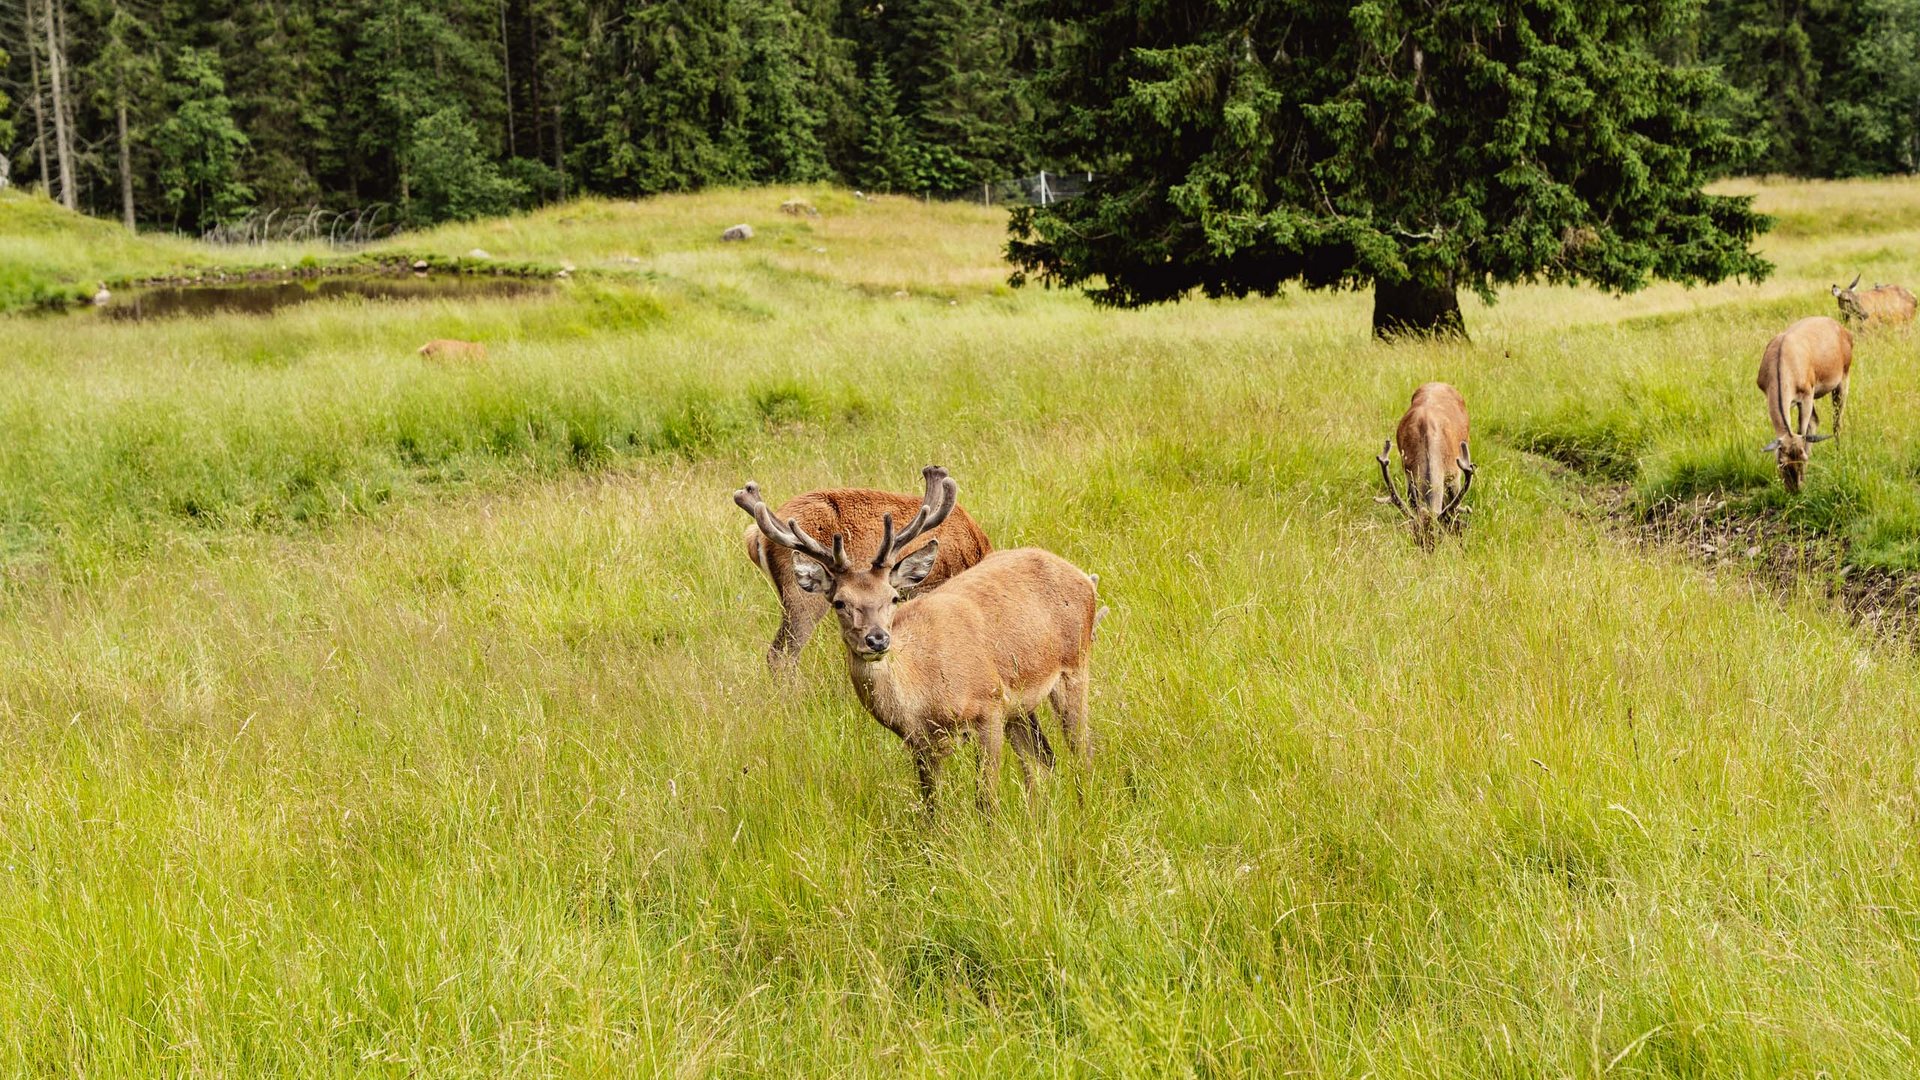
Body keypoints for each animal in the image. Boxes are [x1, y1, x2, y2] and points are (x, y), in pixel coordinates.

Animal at [1374, 380, 1474, 545]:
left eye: (1439, 537)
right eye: (1416, 539)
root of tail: (1438, 382)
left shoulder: (1455, 474)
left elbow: (1456, 519)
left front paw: (1462, 546)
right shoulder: (1409, 473)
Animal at [1758, 313, 1850, 495]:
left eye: (1803, 459)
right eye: (1781, 462)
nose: (1795, 490)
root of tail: (1842, 329)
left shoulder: (1806, 396)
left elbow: (1803, 430)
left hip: (1843, 381)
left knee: (1837, 423)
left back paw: (1838, 456)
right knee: (1816, 421)